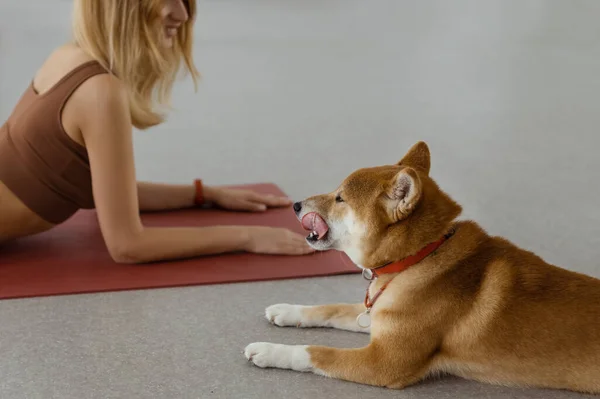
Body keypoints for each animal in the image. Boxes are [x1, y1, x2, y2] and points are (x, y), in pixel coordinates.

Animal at [244, 141, 600, 394]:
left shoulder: (383, 361)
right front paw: (287, 309)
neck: (418, 258)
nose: (295, 205)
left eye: (340, 198)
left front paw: (270, 351)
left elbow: (315, 352)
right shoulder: (378, 315)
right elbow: (331, 309)